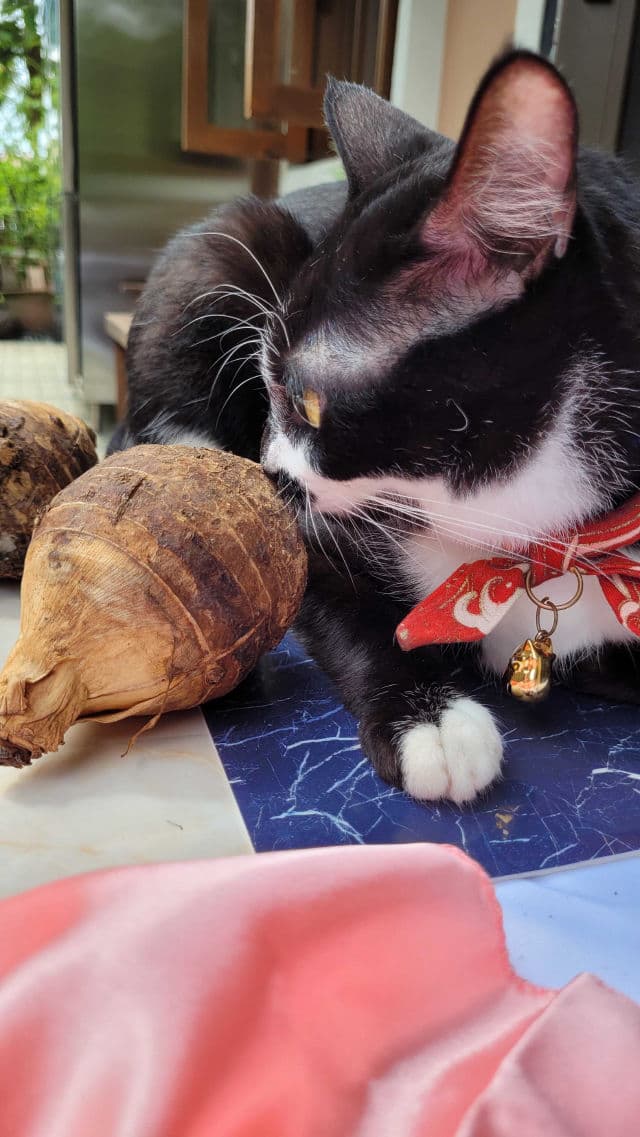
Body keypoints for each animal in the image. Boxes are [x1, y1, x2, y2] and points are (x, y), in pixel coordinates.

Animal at [110, 50, 640, 804]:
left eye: (306, 403)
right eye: (267, 386)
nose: (267, 465)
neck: (525, 546)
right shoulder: (311, 538)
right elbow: (337, 604)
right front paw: (428, 717)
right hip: (225, 241)